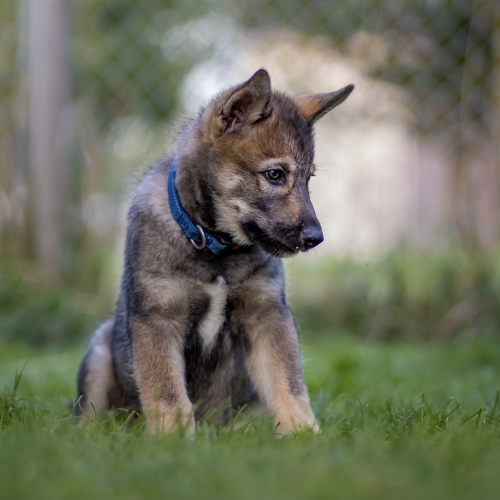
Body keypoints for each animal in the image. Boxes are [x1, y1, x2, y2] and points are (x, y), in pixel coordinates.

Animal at [76, 69, 354, 434]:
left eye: (309, 180)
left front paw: (303, 434)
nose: (315, 237)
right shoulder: (158, 318)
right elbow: (167, 392)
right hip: (99, 349)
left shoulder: (266, 314)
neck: (213, 247)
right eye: (274, 174)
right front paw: (174, 437)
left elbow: (290, 385)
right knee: (90, 414)